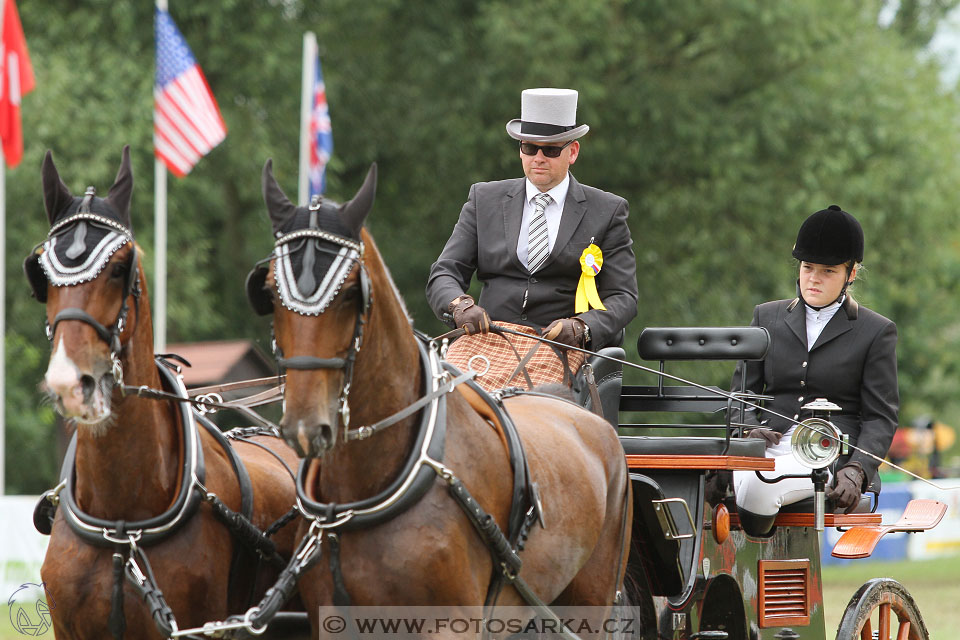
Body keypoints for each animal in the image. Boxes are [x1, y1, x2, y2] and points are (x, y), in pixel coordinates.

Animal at [248, 161, 632, 636]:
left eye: (353, 293)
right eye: (269, 292)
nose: (305, 422)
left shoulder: (449, 622)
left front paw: (569, 328)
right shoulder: (331, 617)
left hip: (592, 597)